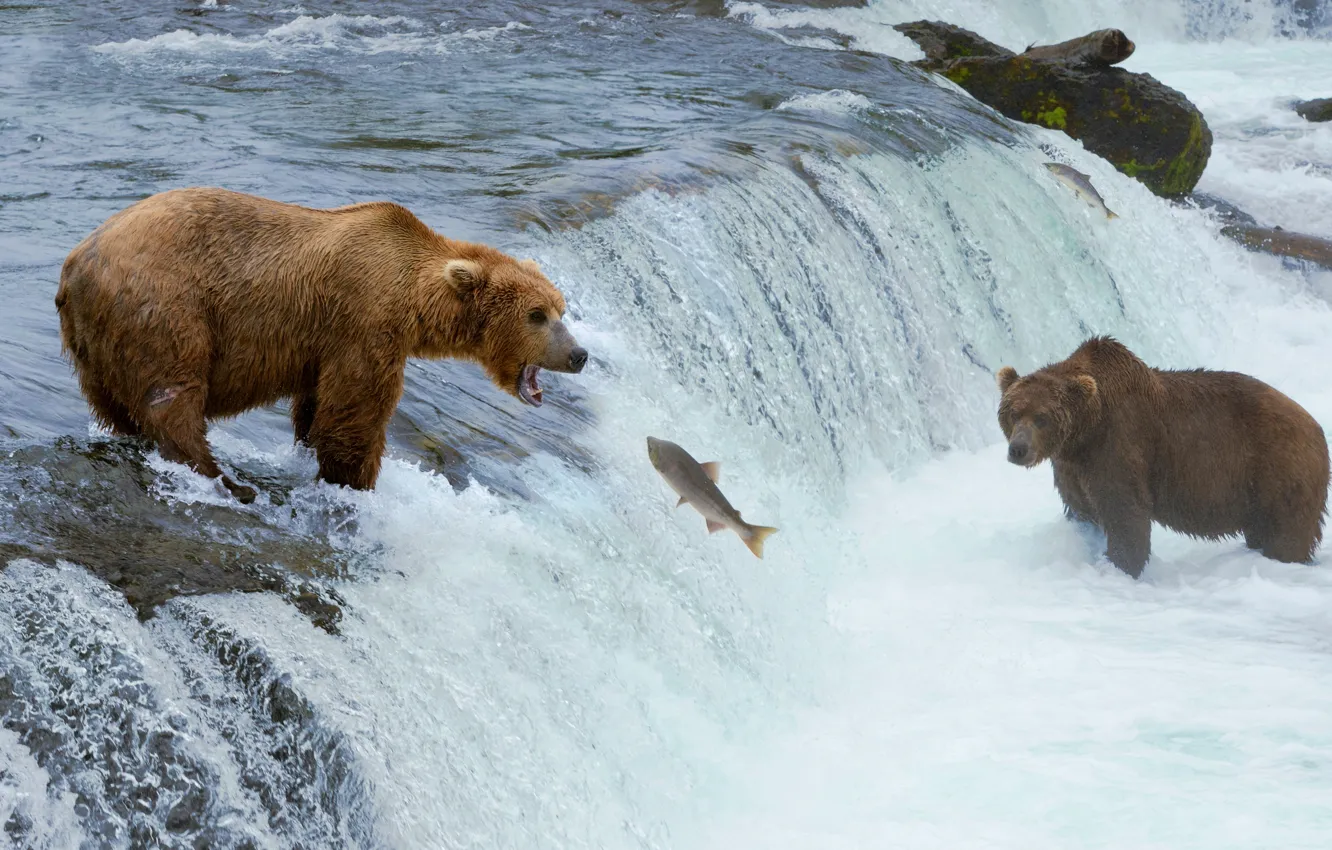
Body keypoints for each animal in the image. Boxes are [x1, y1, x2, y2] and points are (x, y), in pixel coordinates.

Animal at [55, 186, 588, 504]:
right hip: (165, 307)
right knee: (173, 395)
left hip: (94, 344)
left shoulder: (325, 342)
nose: (579, 355)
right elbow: (356, 411)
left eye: (561, 308)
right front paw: (355, 479)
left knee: (116, 405)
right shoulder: (364, 321)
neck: (415, 299)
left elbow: (316, 407)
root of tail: (76, 262)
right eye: (536, 315)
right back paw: (225, 479)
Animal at [996, 336, 1329, 578]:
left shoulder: (1119, 445)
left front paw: (1120, 566)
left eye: (1041, 418)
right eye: (1013, 412)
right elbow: (1081, 507)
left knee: (1287, 534)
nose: (1018, 449)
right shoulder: (1072, 465)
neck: (1085, 431)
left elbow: (1126, 513)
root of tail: (1316, 427)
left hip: (1279, 472)